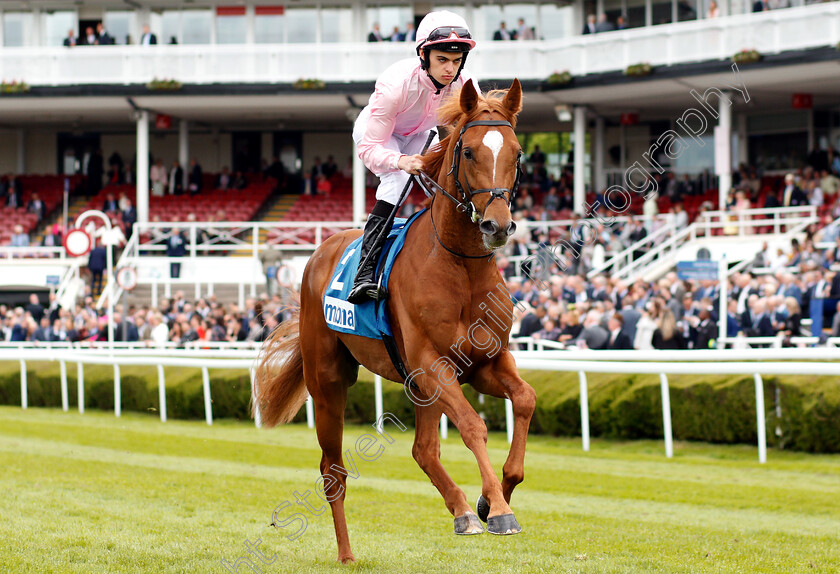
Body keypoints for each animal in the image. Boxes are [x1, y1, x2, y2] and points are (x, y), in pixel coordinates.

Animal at [253, 79, 536, 564]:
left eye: (517, 154)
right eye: (469, 152)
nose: (497, 226)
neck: (460, 267)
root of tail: (320, 252)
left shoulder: (483, 363)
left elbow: (525, 399)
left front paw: (490, 498)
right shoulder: (430, 362)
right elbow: (474, 426)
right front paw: (499, 509)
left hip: (418, 384)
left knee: (423, 449)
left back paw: (462, 510)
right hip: (329, 380)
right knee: (333, 470)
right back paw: (347, 553)